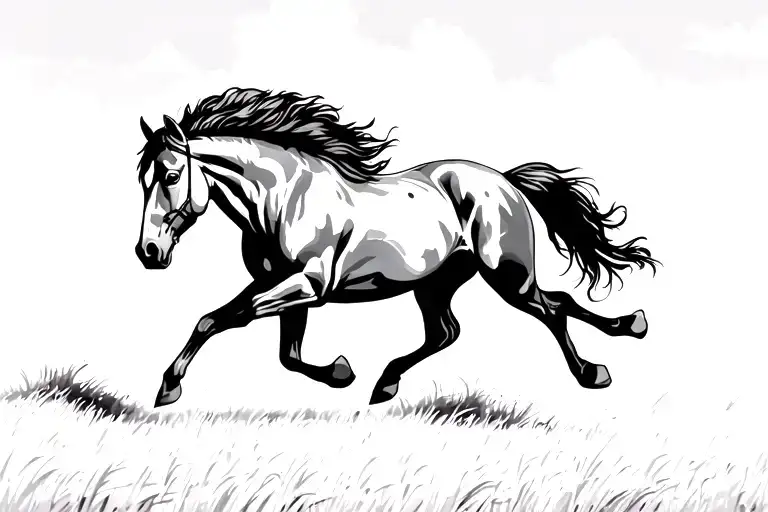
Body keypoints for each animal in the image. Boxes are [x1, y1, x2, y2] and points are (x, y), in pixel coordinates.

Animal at [134, 87, 659, 408]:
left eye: (171, 175)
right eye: (142, 180)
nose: (148, 253)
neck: (283, 197)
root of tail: (504, 180)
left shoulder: (306, 283)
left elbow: (230, 318)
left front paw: (169, 388)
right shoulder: (281, 284)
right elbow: (270, 347)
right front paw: (342, 372)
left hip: (507, 274)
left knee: (552, 308)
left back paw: (598, 365)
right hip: (438, 282)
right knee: (450, 331)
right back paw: (384, 384)